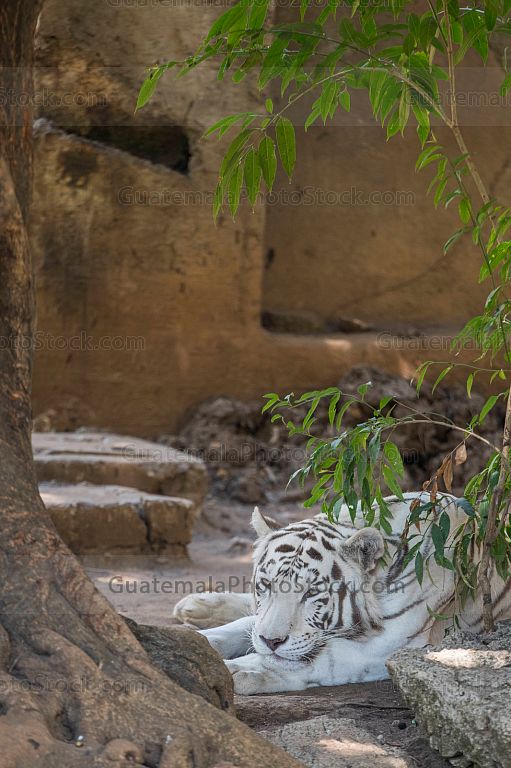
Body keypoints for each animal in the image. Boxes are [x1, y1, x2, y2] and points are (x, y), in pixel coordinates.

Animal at [173, 492, 511, 695]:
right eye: (266, 585)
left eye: (311, 593)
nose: (271, 641)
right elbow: (241, 628)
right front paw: (196, 644)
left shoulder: (394, 643)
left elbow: (316, 660)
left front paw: (234, 670)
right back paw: (195, 605)